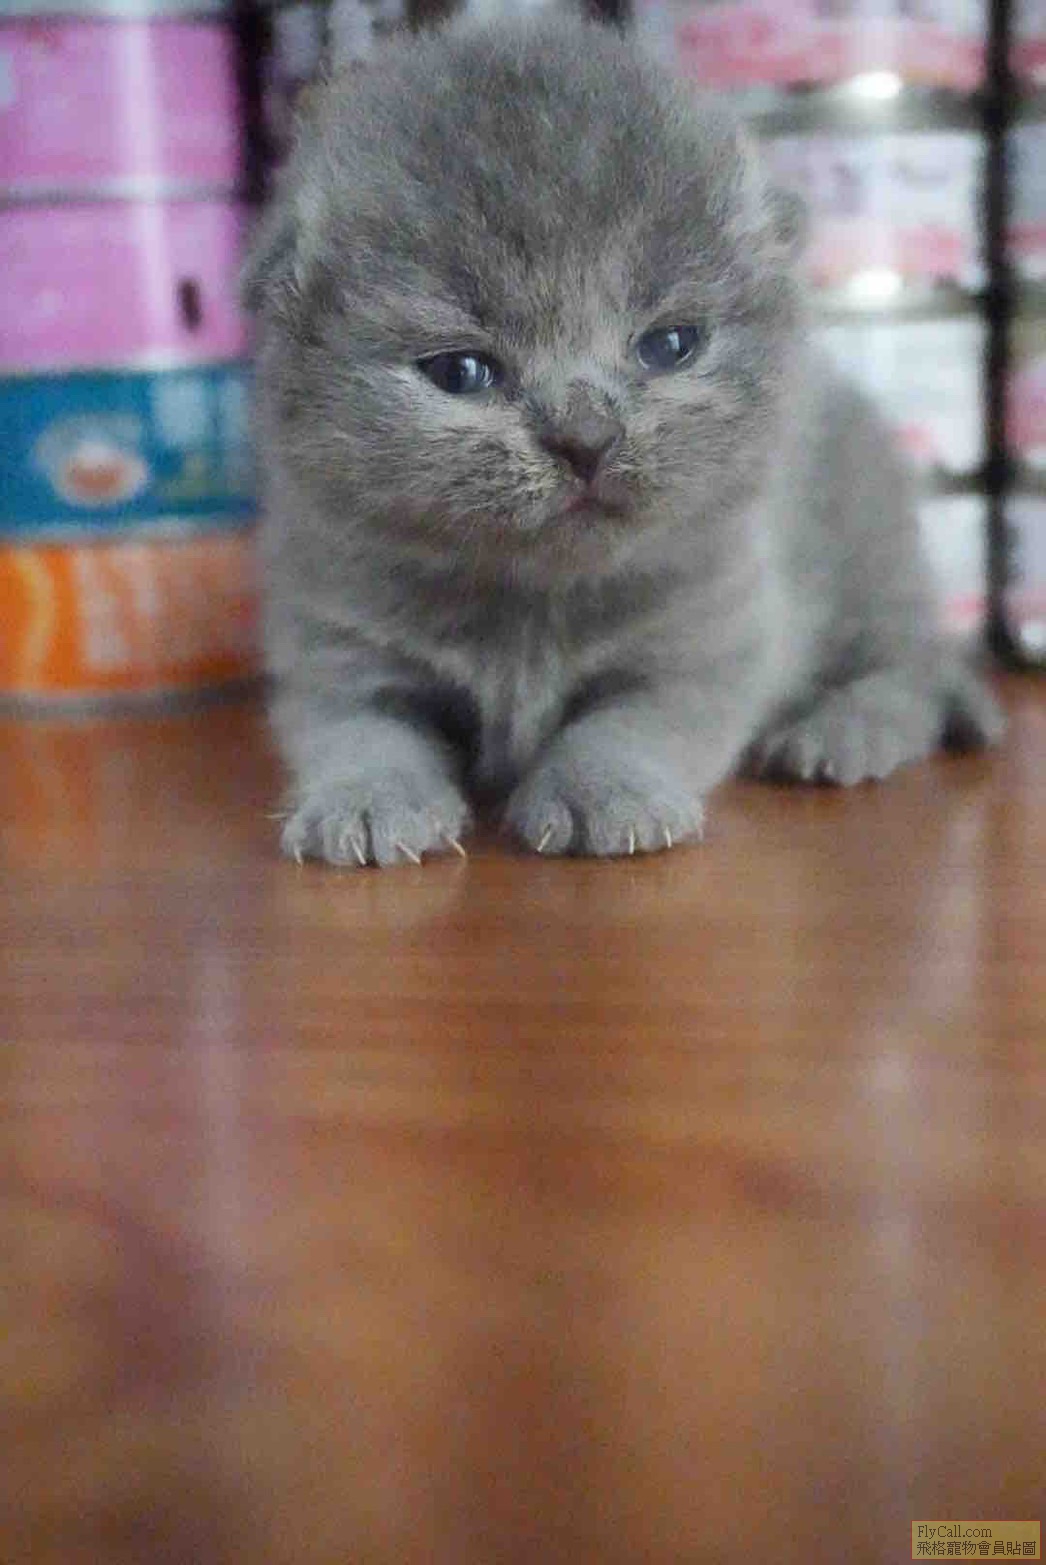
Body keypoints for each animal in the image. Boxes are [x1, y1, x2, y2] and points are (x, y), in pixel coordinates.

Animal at [243, 16, 1003, 867]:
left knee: (911, 667)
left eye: (669, 346)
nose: (585, 437)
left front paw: (598, 794)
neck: (526, 608)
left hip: (871, 556)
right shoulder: (336, 646)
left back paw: (841, 731)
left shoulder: (706, 641)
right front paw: (368, 802)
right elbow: (359, 734)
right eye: (461, 370)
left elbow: (627, 726)